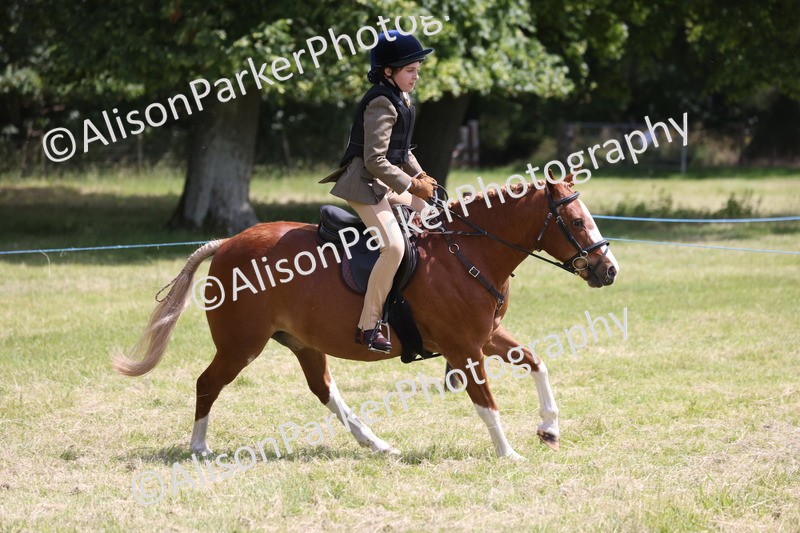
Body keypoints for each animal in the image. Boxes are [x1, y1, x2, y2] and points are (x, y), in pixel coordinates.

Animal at [112, 172, 619, 460]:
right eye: (576, 222)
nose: (608, 270)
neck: (467, 251)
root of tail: (228, 243)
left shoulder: (486, 337)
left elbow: (536, 362)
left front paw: (549, 429)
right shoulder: (464, 348)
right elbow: (486, 401)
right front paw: (509, 453)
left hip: (303, 343)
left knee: (324, 390)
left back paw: (375, 444)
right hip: (242, 345)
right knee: (208, 383)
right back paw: (198, 447)